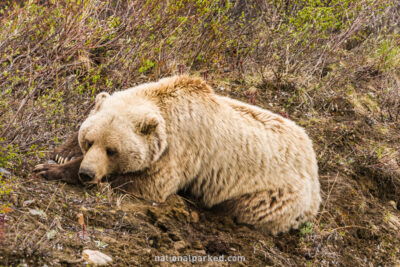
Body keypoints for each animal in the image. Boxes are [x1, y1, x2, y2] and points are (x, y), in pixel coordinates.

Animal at [34, 75, 322, 234]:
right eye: (89, 140)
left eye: (112, 150)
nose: (87, 173)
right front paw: (60, 155)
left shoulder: (179, 152)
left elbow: (150, 183)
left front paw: (51, 169)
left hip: (276, 194)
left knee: (245, 207)